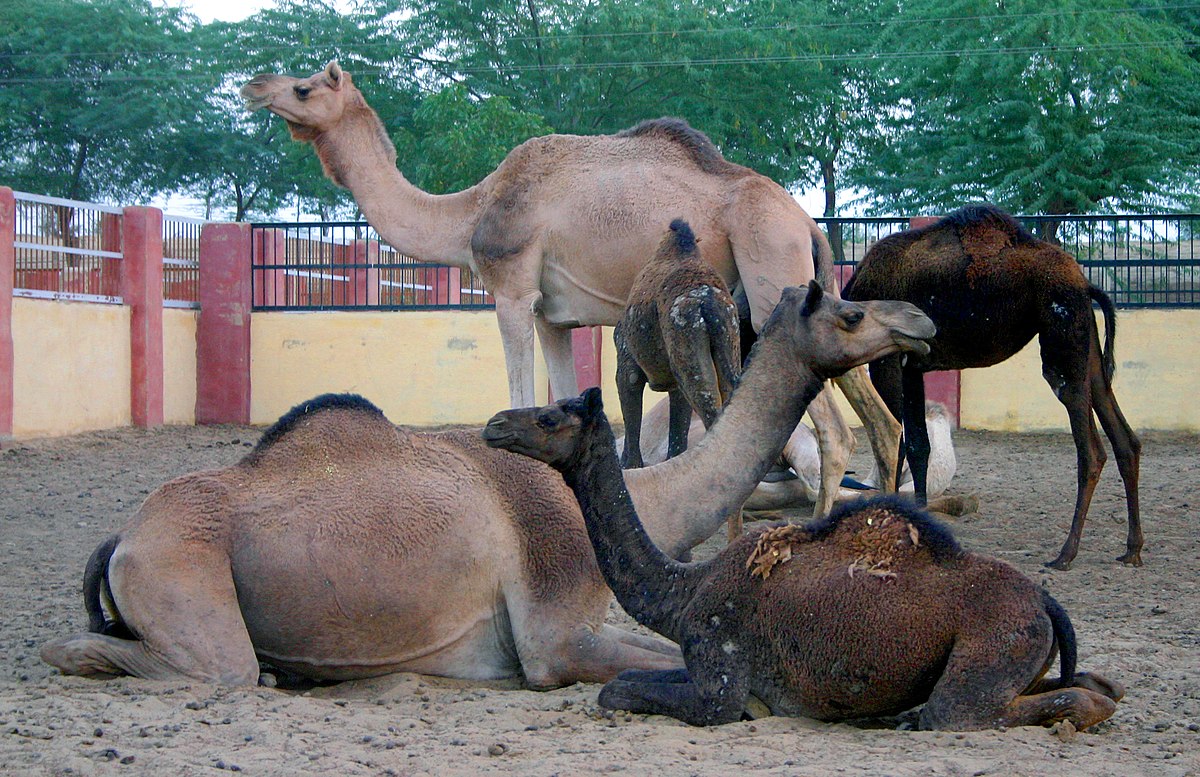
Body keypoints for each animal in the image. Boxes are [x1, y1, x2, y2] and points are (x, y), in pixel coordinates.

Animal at [41, 283, 934, 688]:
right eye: (850, 313)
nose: (921, 321)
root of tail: (123, 537)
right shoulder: (551, 636)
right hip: (184, 574)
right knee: (196, 664)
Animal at [485, 386, 1124, 730]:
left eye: (549, 417)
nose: (494, 424)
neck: (683, 594)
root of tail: (1044, 603)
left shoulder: (719, 668)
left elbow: (621, 689)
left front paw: (759, 712)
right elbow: (625, 679)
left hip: (993, 643)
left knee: (966, 711)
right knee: (1094, 681)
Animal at [614, 219, 740, 471]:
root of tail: (707, 301)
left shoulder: (627, 365)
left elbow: (631, 413)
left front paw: (629, 466)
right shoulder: (674, 380)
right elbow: (678, 427)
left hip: (687, 340)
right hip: (728, 340)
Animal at [842, 204, 1142, 570]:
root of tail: (1085, 283)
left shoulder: (888, 360)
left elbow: (897, 439)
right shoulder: (913, 366)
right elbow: (918, 445)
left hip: (1063, 343)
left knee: (1091, 452)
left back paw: (1065, 554)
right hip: (1088, 350)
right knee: (1125, 439)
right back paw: (1132, 549)